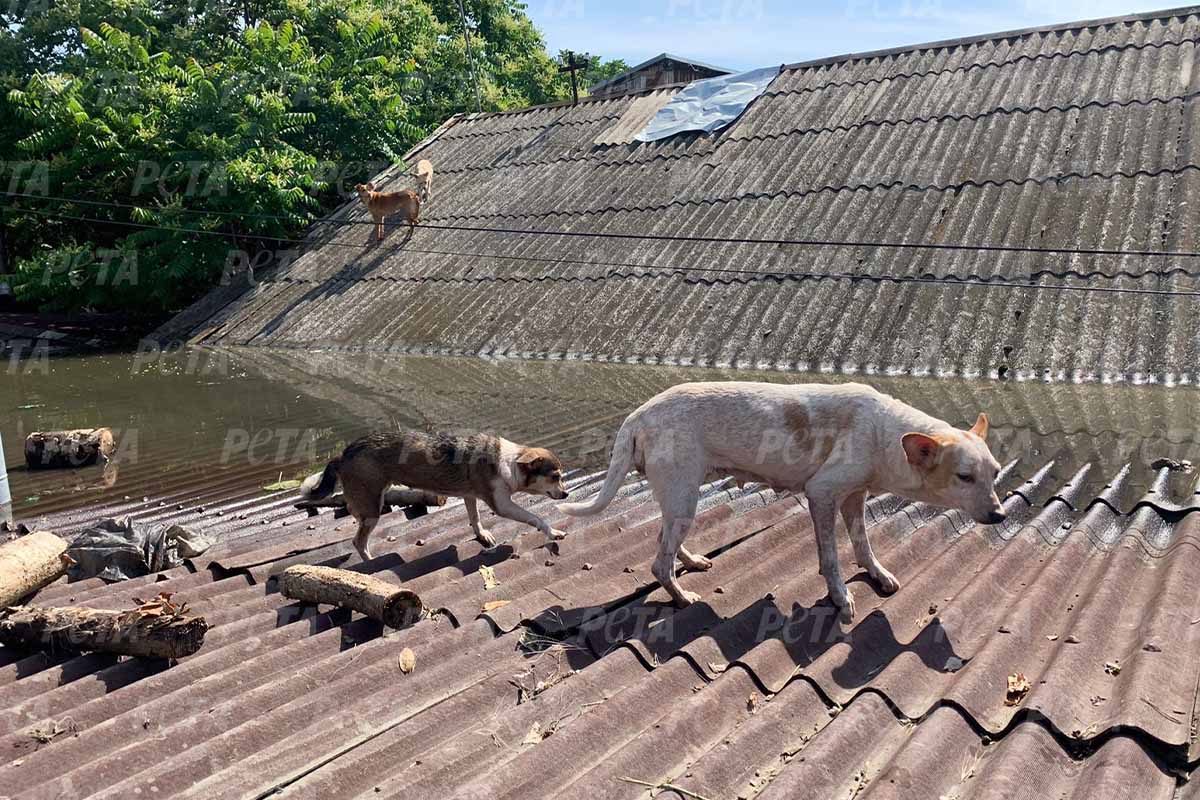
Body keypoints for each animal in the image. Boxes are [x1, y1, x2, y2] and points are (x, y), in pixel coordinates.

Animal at [302, 434, 568, 561]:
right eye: (555, 477)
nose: (566, 493)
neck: (510, 462)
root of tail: (342, 454)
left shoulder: (469, 495)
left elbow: (475, 518)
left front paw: (482, 535)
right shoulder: (502, 504)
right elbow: (535, 517)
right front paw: (553, 532)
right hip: (372, 508)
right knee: (358, 541)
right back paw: (370, 560)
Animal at [556, 383, 1008, 623]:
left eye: (996, 472)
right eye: (964, 477)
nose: (1001, 514)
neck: (884, 433)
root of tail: (639, 414)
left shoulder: (855, 497)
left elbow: (863, 546)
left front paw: (877, 574)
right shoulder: (823, 494)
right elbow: (832, 559)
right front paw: (840, 598)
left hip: (680, 497)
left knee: (663, 539)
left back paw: (692, 561)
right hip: (685, 496)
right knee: (657, 563)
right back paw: (682, 598)